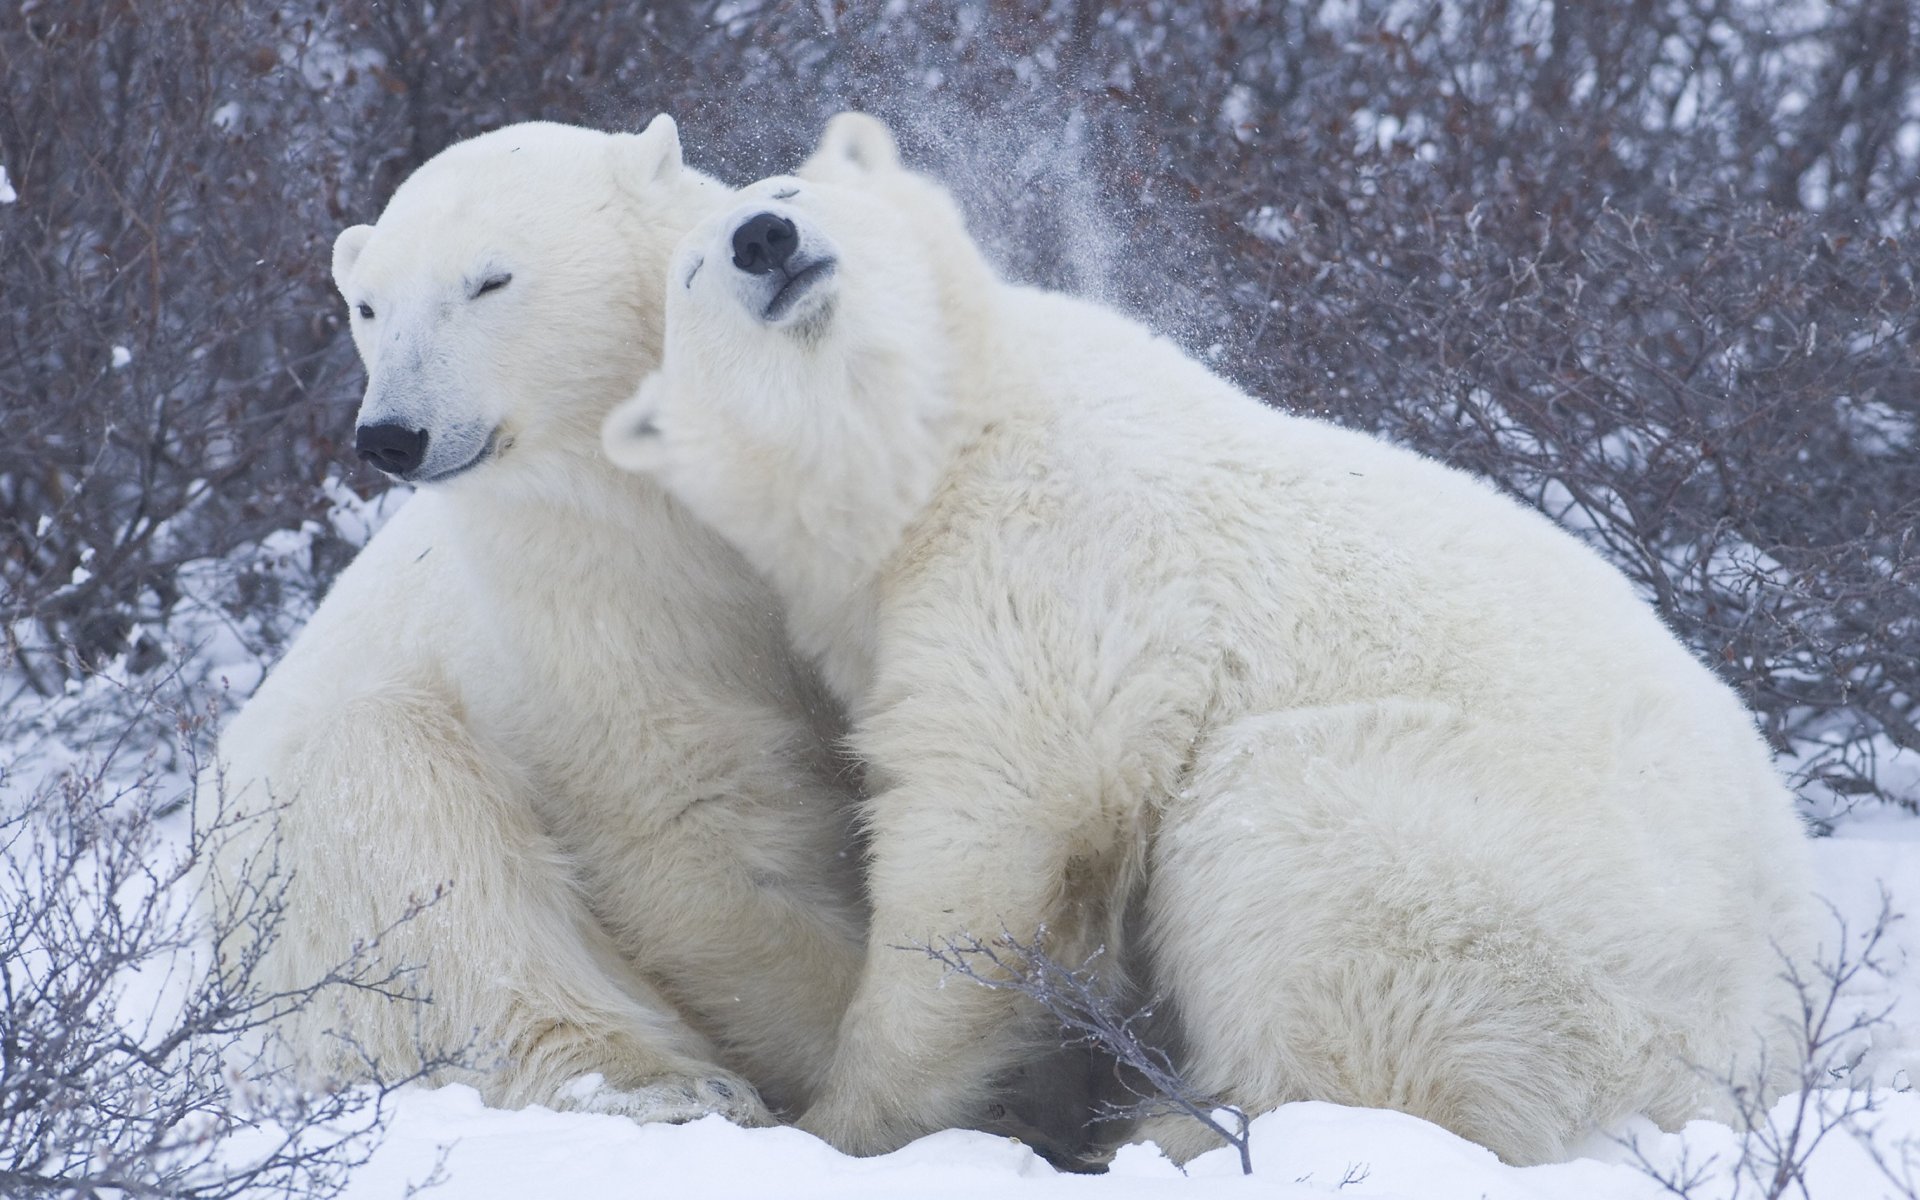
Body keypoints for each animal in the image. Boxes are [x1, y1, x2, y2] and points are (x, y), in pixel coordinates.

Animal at [212, 114, 871, 1121]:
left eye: (490, 280)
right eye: (368, 307)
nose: (391, 435)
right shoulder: (585, 605)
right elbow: (695, 830)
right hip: (299, 884)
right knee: (416, 837)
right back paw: (669, 1087)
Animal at [606, 112, 1820, 1159]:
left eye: (789, 191)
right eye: (693, 272)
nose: (765, 242)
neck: (946, 447)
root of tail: (1758, 1048)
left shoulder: (1058, 554)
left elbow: (1001, 826)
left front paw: (846, 1122)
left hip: (1514, 887)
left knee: (1293, 857)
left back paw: (1181, 1126)